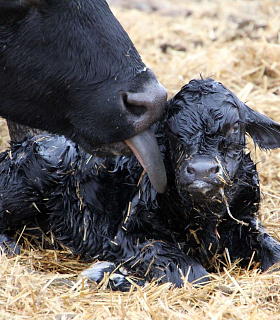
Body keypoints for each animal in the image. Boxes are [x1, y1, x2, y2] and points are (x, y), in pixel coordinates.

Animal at [0, 78, 280, 290]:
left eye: (235, 126)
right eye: (171, 131)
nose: (202, 170)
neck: (206, 219)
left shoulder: (247, 221)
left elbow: (275, 254)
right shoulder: (130, 235)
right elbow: (193, 274)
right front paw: (112, 275)